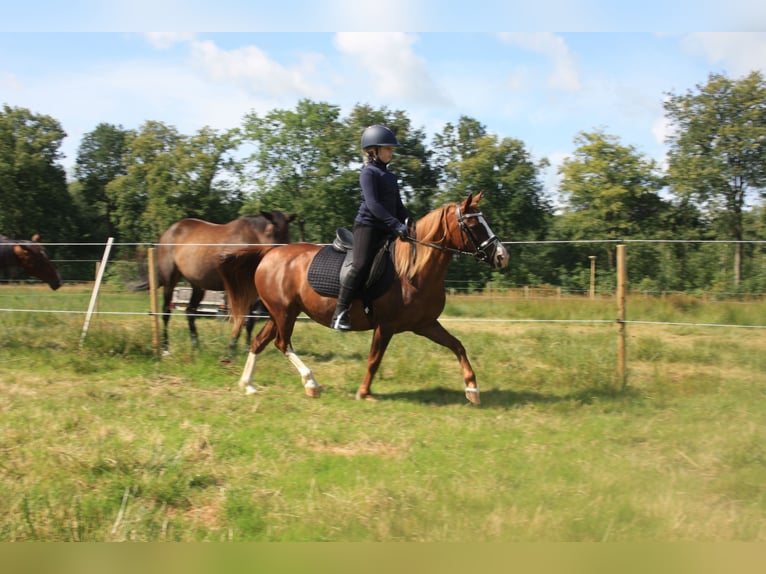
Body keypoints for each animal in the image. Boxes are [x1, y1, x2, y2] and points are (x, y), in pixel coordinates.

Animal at [156, 213, 296, 354]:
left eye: (286, 233)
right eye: (269, 231)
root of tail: (169, 231)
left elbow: (250, 321)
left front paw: (246, 347)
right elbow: (241, 317)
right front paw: (232, 347)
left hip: (198, 286)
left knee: (190, 311)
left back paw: (196, 346)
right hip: (170, 282)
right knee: (166, 312)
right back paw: (165, 348)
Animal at [220, 194, 510, 404]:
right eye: (473, 224)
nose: (502, 256)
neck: (413, 272)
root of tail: (269, 253)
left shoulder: (425, 324)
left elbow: (458, 346)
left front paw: (472, 389)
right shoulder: (386, 326)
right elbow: (374, 359)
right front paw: (364, 392)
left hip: (280, 313)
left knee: (260, 341)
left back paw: (248, 385)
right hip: (284, 313)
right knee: (281, 343)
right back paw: (311, 382)